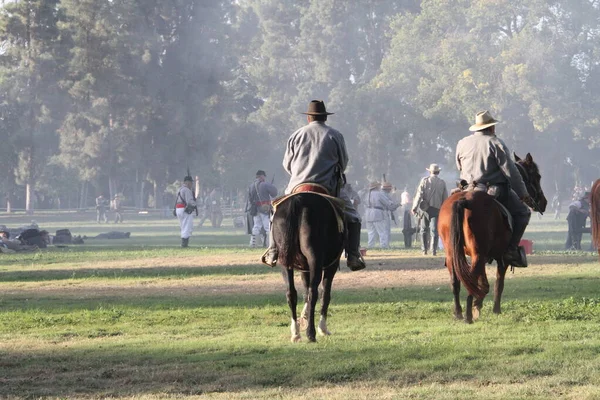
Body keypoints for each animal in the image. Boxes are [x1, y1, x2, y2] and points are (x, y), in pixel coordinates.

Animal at [270, 192, 342, 342]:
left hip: (285, 260)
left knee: (291, 293)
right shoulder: (332, 264)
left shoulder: (304, 268)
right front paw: (322, 328)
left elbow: (304, 292)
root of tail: (298, 201)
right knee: (313, 292)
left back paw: (296, 333)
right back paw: (311, 333)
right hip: (315, 258)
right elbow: (325, 294)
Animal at [438, 152, 548, 324]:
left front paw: (479, 305)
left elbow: (483, 282)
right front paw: (494, 309)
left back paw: (459, 313)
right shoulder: (501, 258)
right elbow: (498, 284)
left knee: (456, 281)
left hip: (452, 255)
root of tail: (464, 200)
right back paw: (469, 315)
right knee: (471, 280)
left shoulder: (482, 256)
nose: (543, 202)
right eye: (537, 176)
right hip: (477, 255)